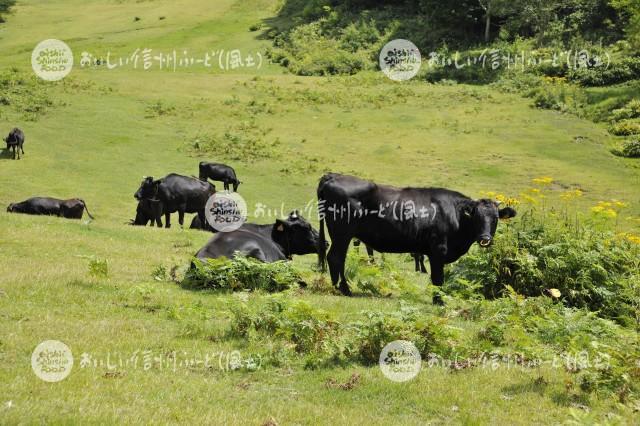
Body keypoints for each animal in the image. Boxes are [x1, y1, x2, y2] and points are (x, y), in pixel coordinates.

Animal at [318, 173, 516, 296]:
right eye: (477, 217)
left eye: (495, 218)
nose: (485, 239)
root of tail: (333, 176)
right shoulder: (438, 250)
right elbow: (438, 279)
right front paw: (438, 301)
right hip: (342, 234)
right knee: (336, 258)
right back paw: (343, 289)